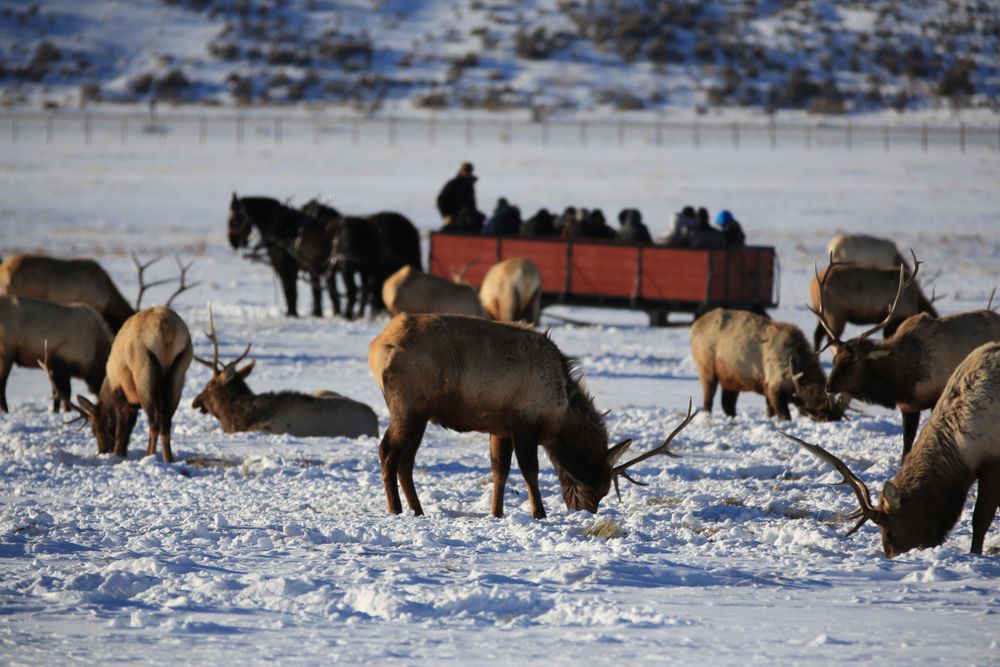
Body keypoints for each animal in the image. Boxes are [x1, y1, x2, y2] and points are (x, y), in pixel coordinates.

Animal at [191, 308, 379, 439]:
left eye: (209, 384)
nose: (195, 402)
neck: (235, 416)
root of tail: (375, 420)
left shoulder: (271, 428)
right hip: (322, 391)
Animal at [368, 313, 696, 519]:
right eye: (599, 485)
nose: (587, 510)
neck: (561, 415)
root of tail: (375, 348)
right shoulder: (524, 423)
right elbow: (530, 470)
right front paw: (539, 513)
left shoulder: (499, 427)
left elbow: (499, 470)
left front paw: (497, 513)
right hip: (409, 407)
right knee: (387, 452)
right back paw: (395, 509)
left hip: (420, 414)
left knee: (405, 461)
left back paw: (417, 509)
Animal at [691, 308, 845, 422]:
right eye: (818, 401)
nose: (834, 417)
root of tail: (694, 327)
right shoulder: (773, 386)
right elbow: (785, 416)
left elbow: (770, 412)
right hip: (706, 368)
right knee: (708, 400)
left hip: (731, 378)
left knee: (727, 404)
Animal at [816, 264, 1000, 462]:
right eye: (834, 360)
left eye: (854, 360)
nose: (828, 387)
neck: (902, 381)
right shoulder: (908, 406)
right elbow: (906, 447)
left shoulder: (938, 397)